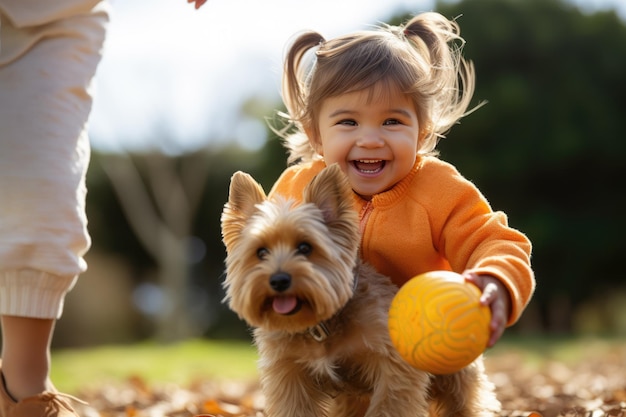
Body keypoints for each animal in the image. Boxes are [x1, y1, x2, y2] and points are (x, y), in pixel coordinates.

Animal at [219, 164, 498, 414]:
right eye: (261, 252)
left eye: (305, 247)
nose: (278, 280)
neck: (320, 324)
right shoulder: (289, 373)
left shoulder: (394, 367)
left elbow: (389, 407)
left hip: (457, 377)